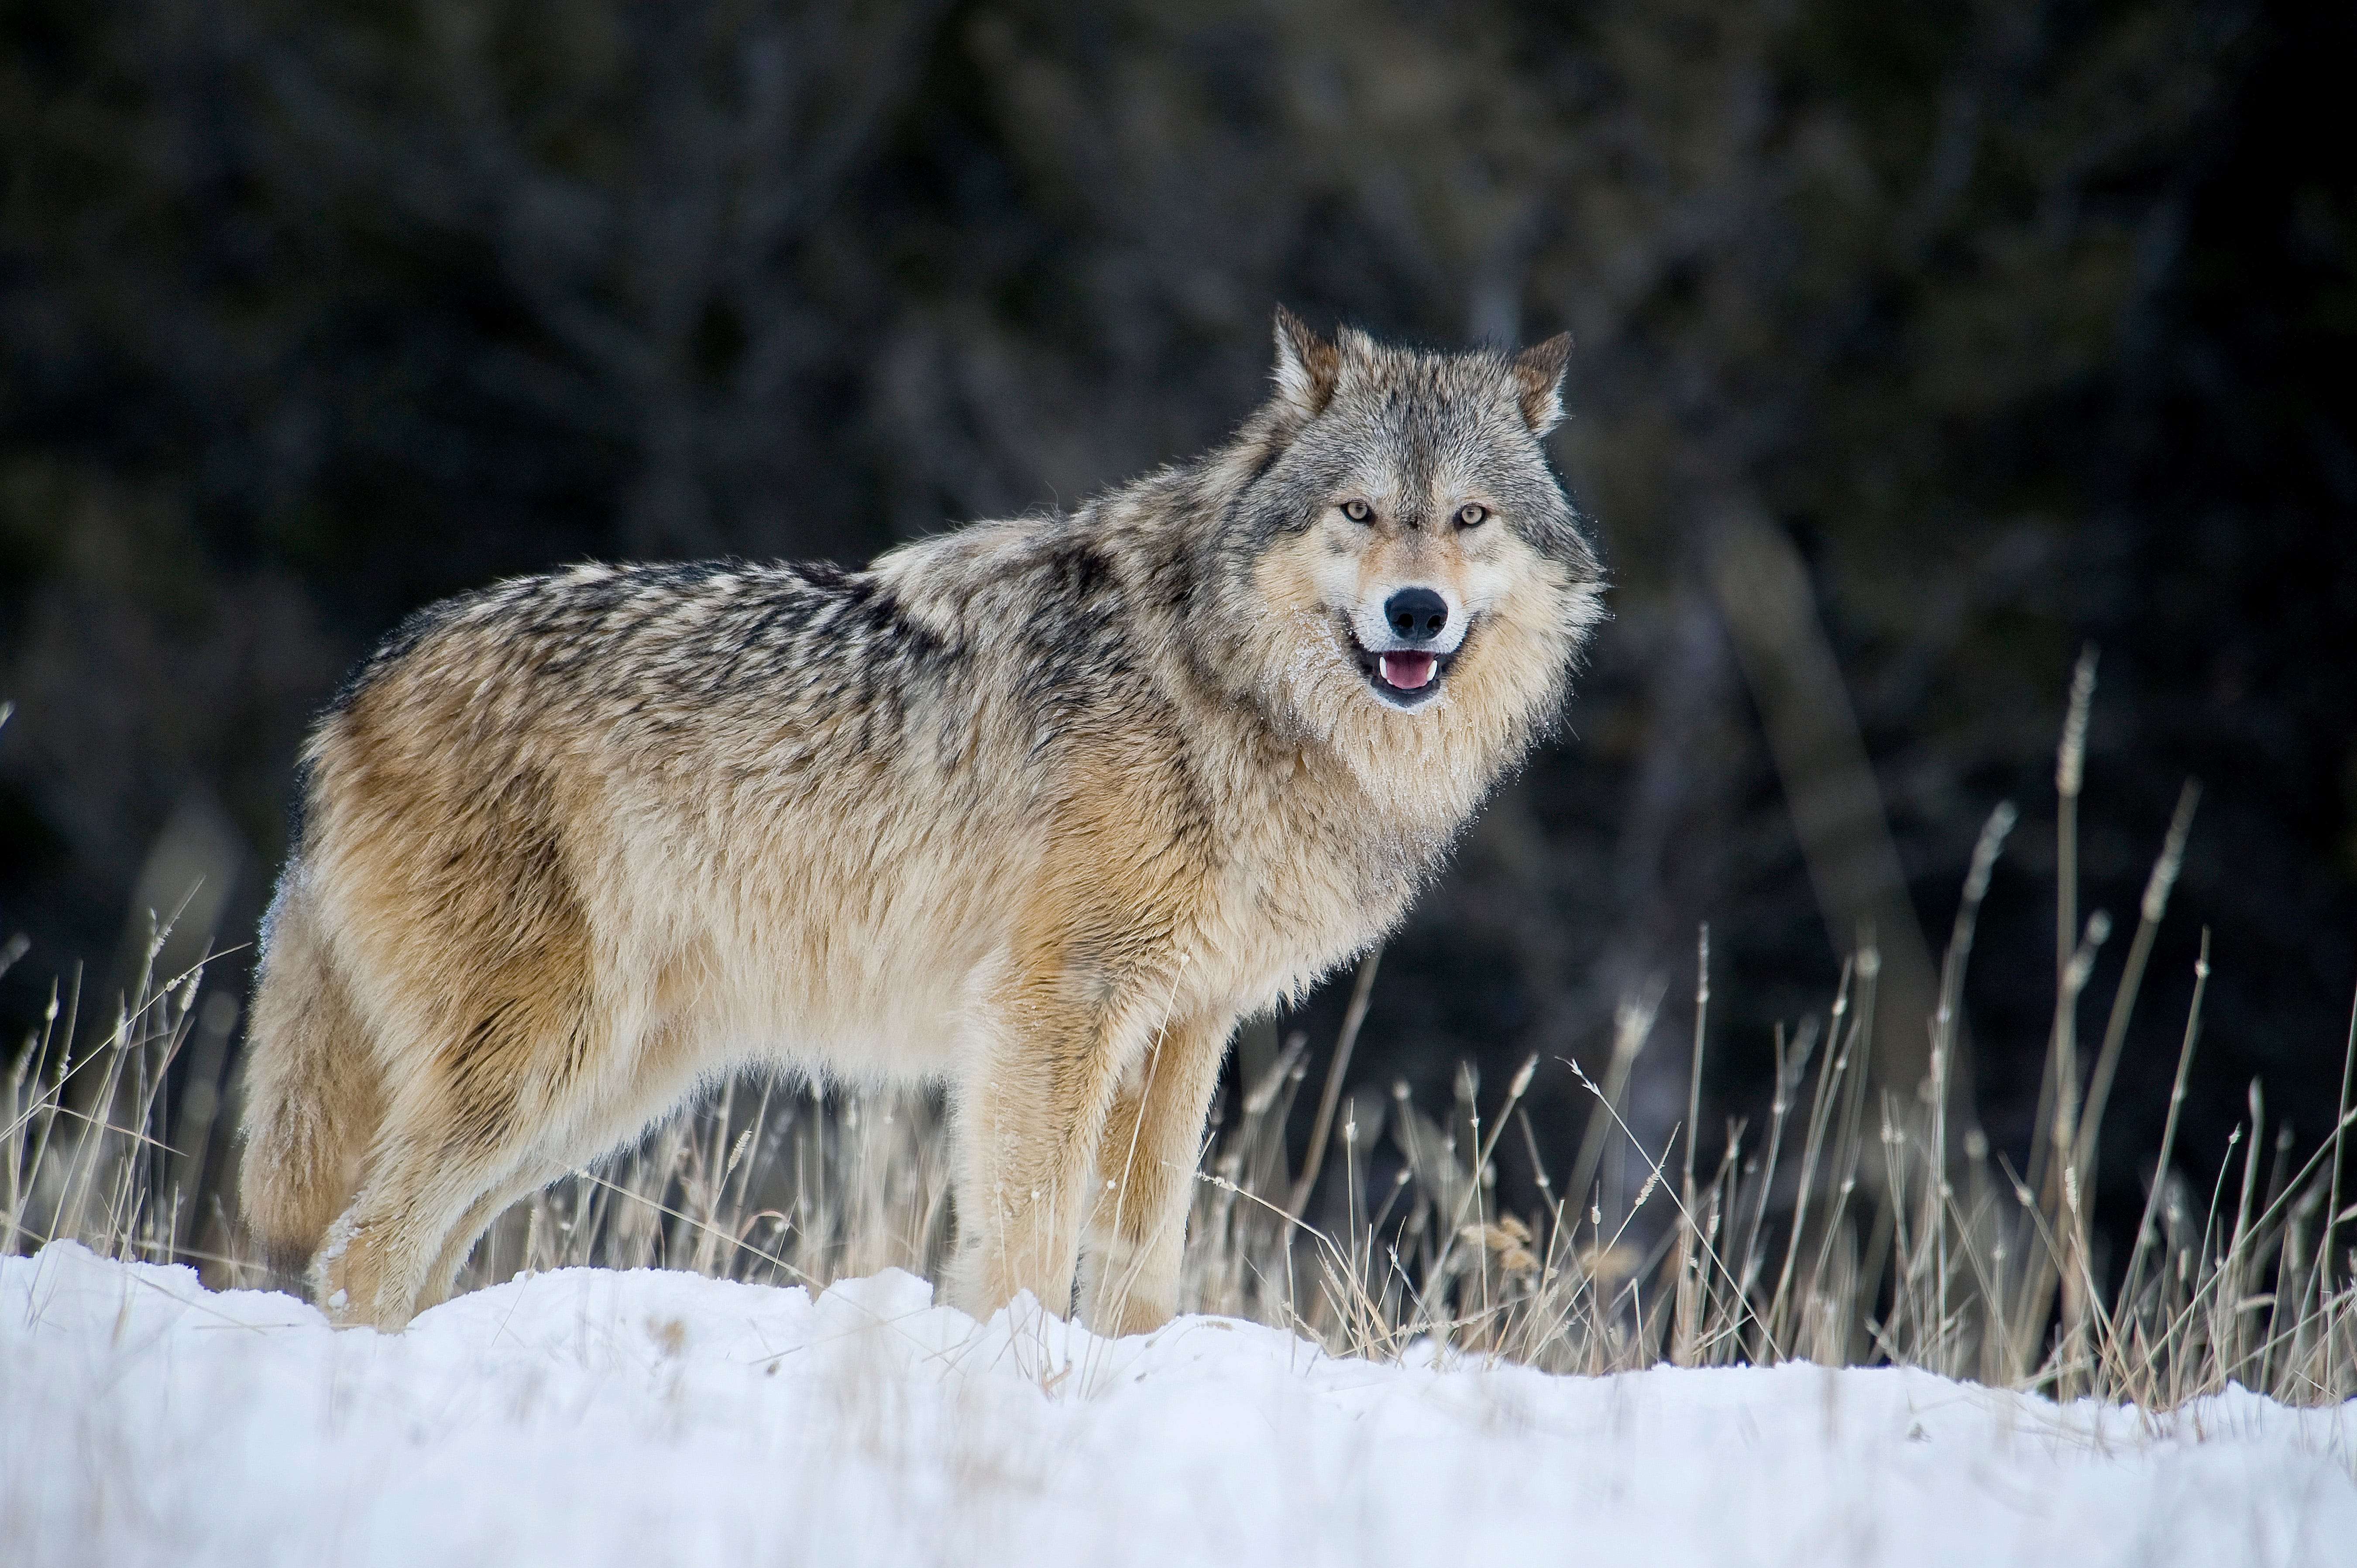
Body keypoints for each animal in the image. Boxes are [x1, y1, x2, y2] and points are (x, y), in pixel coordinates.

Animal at [234, 309, 1603, 1330]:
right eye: (1359, 513)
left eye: (1469, 517)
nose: (1417, 612)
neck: (1220, 686)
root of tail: (355, 691)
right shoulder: (1052, 1007)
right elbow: (1027, 1238)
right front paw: (1014, 1371)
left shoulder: (1184, 1027)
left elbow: (1141, 1256)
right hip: (544, 1063)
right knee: (361, 1248)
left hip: (603, 1087)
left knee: (406, 1250)